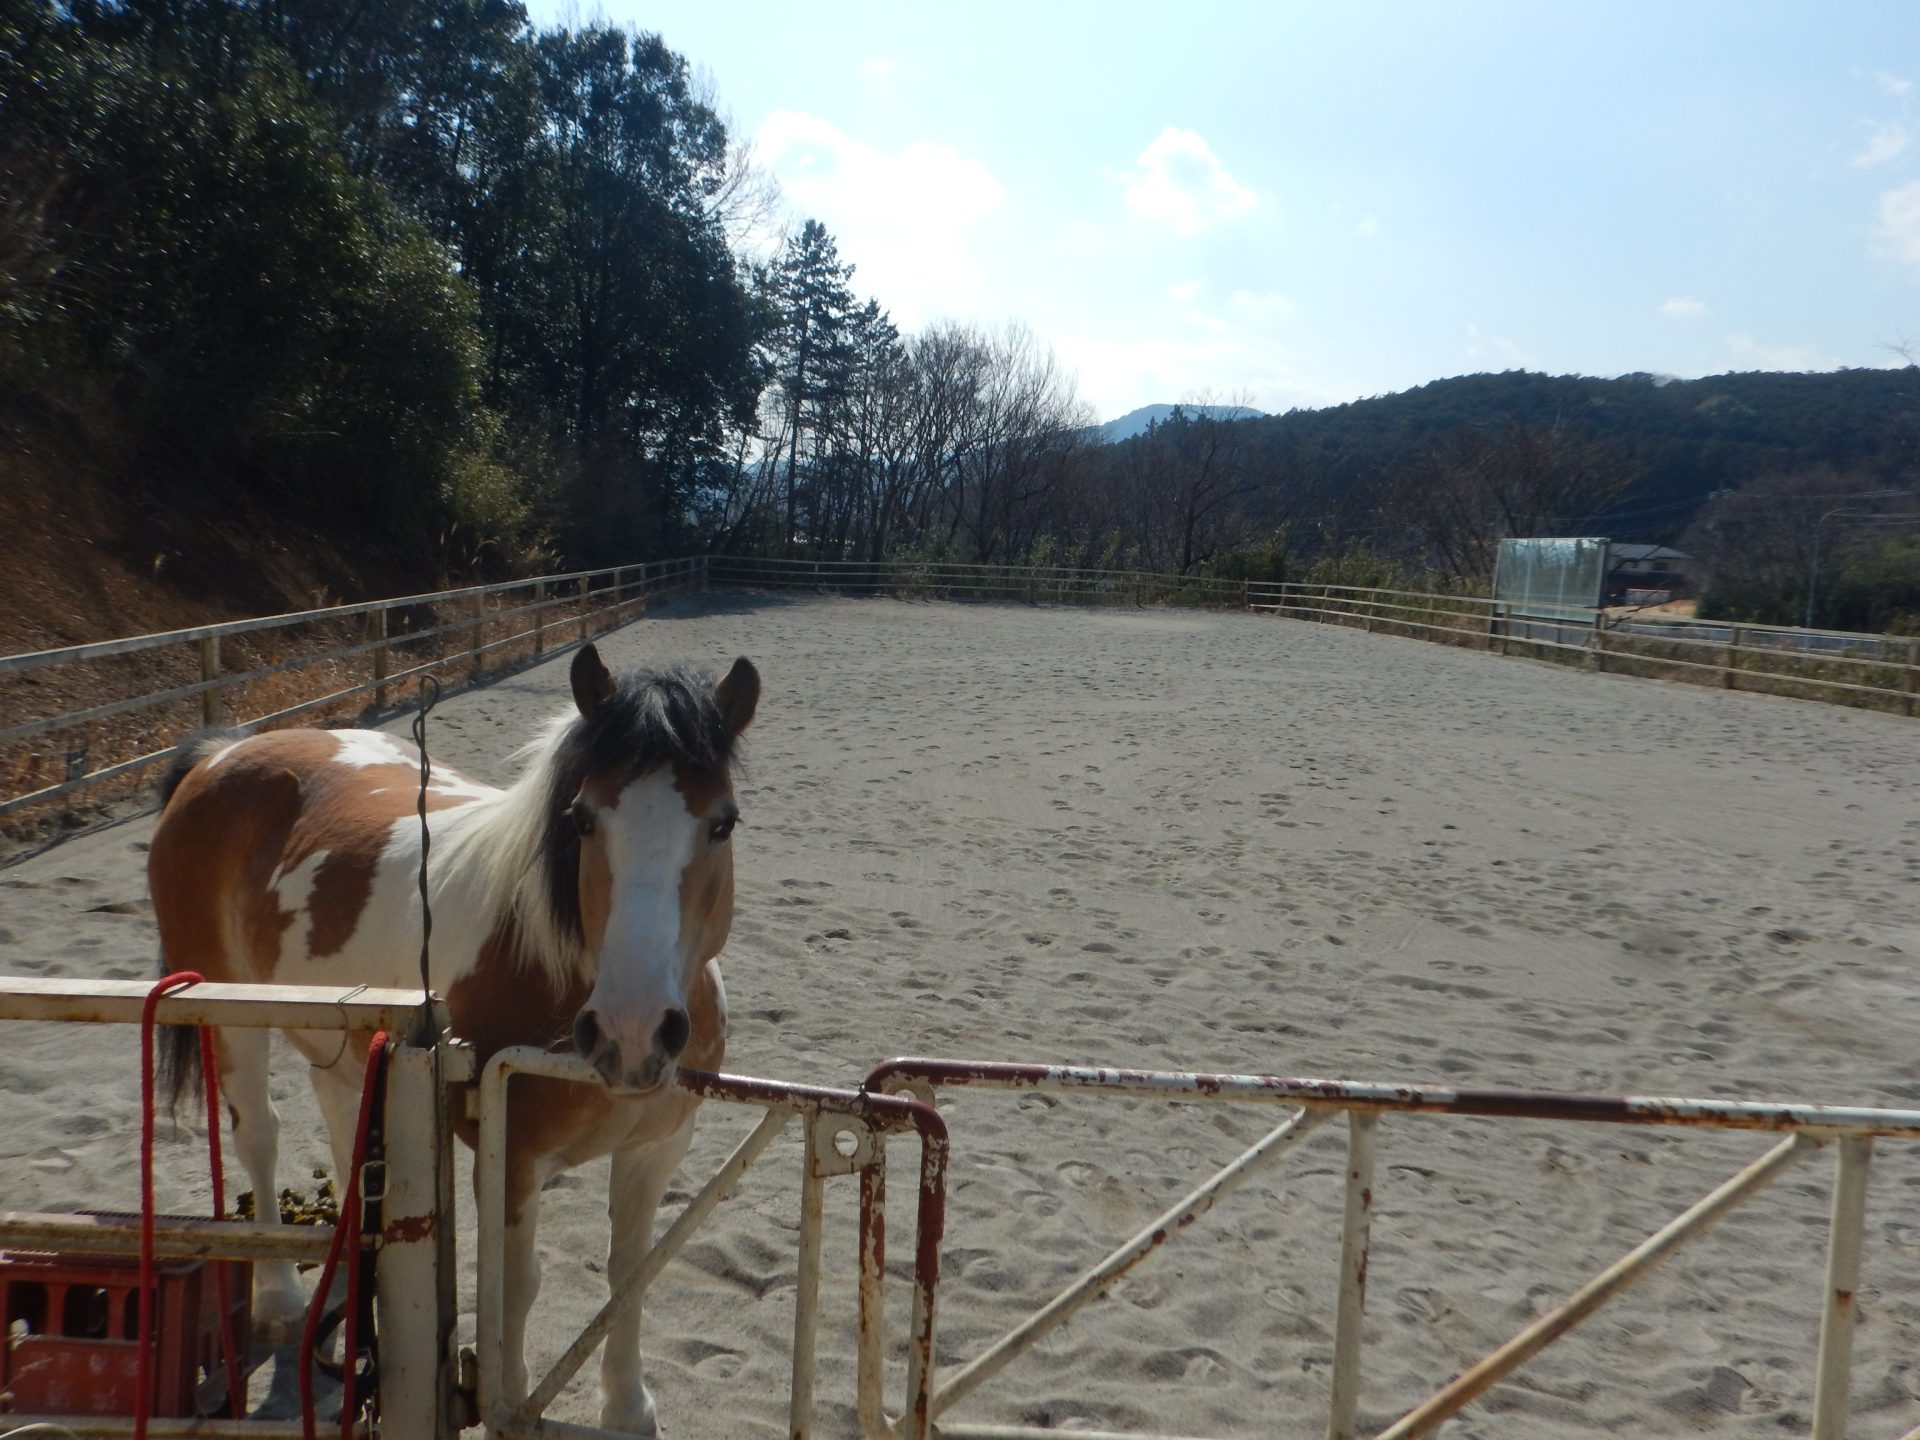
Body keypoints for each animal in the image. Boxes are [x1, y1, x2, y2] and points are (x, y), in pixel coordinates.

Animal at [145, 648, 756, 1436]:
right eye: (582, 819)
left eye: (723, 824)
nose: (633, 1029)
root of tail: (224, 754)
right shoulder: (512, 1154)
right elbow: (516, 1285)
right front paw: (512, 1404)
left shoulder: (657, 1147)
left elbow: (631, 1272)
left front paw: (626, 1408)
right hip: (232, 1018)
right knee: (258, 1136)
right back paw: (281, 1300)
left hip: (346, 1037)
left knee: (344, 1134)